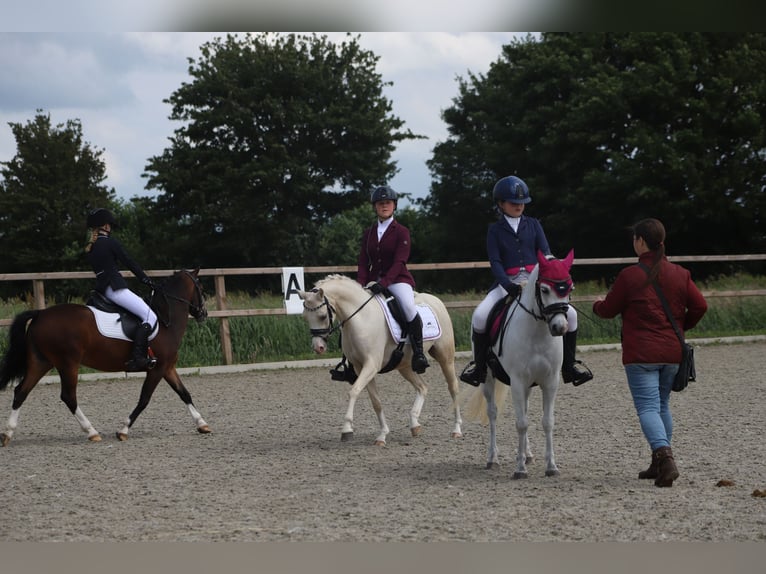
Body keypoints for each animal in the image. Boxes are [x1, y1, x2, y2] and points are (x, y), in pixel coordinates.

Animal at [0, 268, 210, 448]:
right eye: (200, 288)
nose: (203, 313)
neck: (166, 319)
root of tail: (40, 314)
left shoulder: (167, 367)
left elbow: (184, 393)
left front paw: (202, 424)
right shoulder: (158, 369)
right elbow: (144, 399)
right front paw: (123, 430)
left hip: (42, 362)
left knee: (21, 391)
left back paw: (7, 434)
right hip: (68, 363)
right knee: (68, 396)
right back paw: (91, 431)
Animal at [300, 276, 464, 448]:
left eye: (322, 316)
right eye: (305, 317)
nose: (318, 347)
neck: (361, 318)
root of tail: (435, 300)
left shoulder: (371, 364)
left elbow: (354, 391)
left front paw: (347, 429)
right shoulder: (360, 367)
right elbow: (376, 402)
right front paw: (382, 435)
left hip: (445, 357)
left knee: (453, 387)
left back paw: (456, 429)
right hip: (404, 365)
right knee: (422, 387)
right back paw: (414, 424)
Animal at [462, 250, 576, 480]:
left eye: (569, 288)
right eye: (544, 289)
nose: (560, 327)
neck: (538, 330)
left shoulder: (550, 381)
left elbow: (547, 421)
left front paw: (551, 466)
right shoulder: (517, 381)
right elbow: (521, 423)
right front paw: (520, 469)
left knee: (525, 410)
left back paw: (528, 454)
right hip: (488, 379)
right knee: (493, 413)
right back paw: (493, 459)